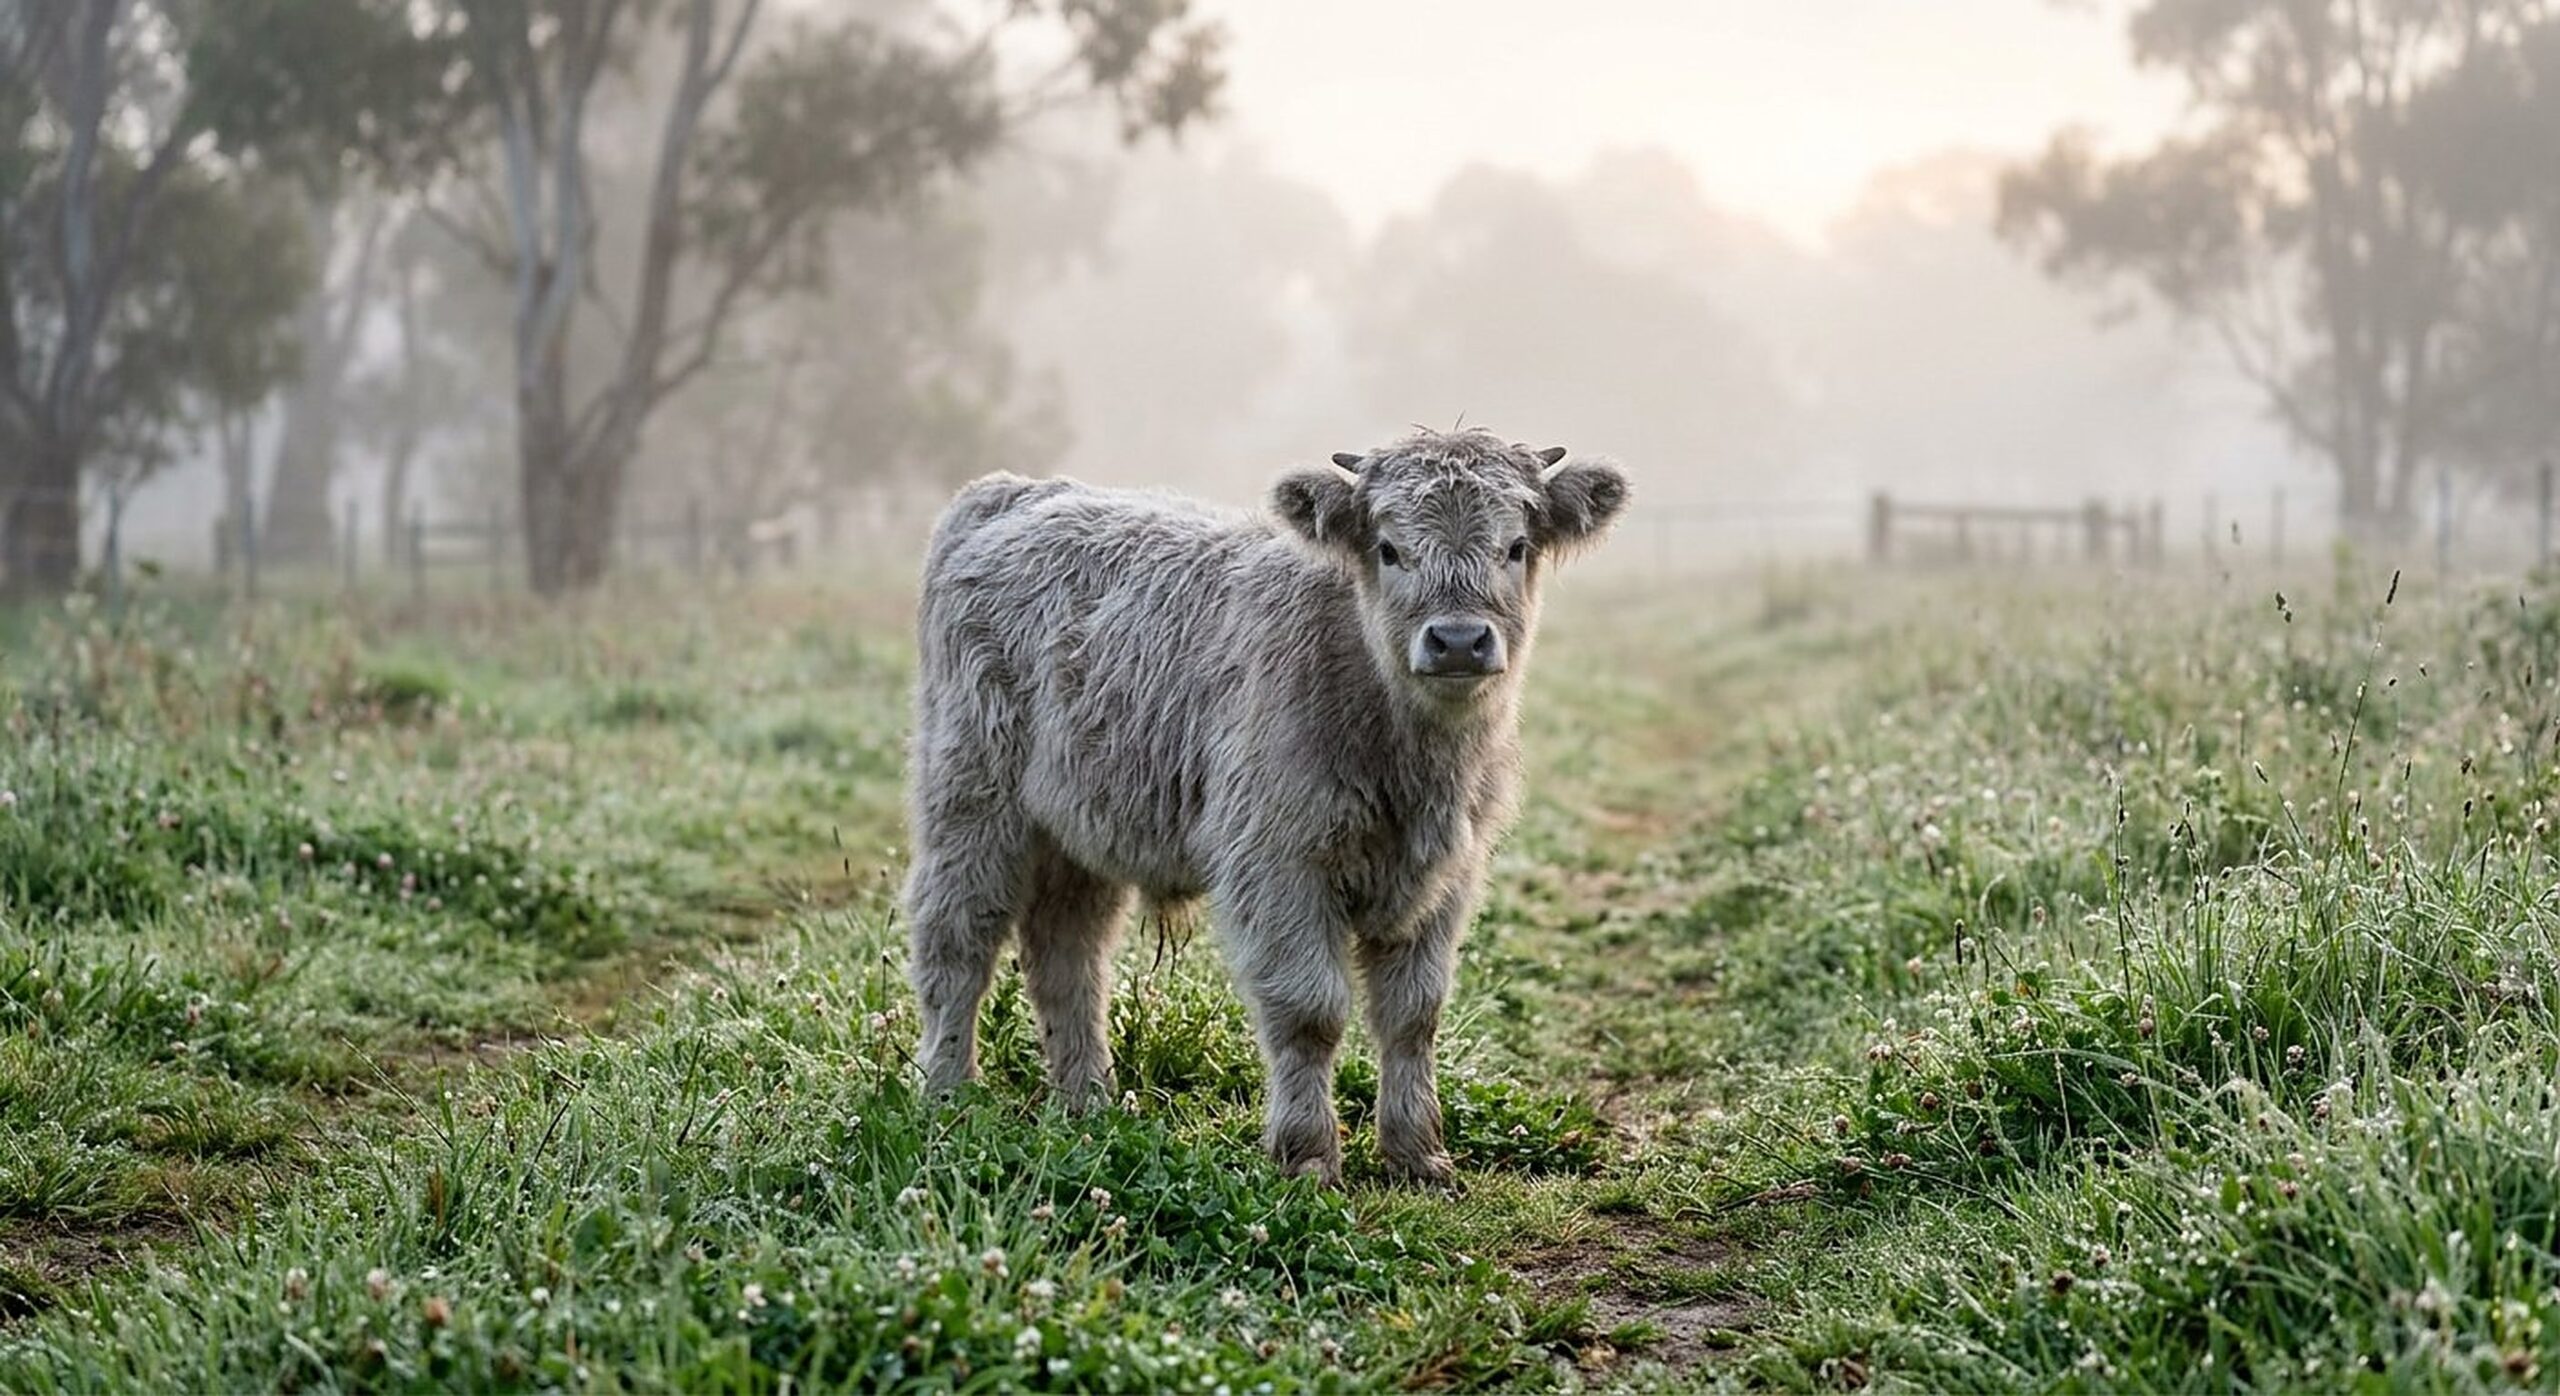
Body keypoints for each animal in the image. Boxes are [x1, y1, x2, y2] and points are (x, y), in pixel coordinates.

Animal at [902, 427, 1629, 1186]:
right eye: (1388, 548)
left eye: (1515, 546)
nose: (1458, 639)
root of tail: (1013, 493)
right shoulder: (1278, 864)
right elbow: (1310, 1010)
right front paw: (1307, 1155)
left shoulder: (1446, 879)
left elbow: (1413, 1013)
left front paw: (1417, 1153)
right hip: (970, 797)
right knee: (957, 938)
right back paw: (949, 1094)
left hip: (1077, 831)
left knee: (1067, 957)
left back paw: (1087, 1102)